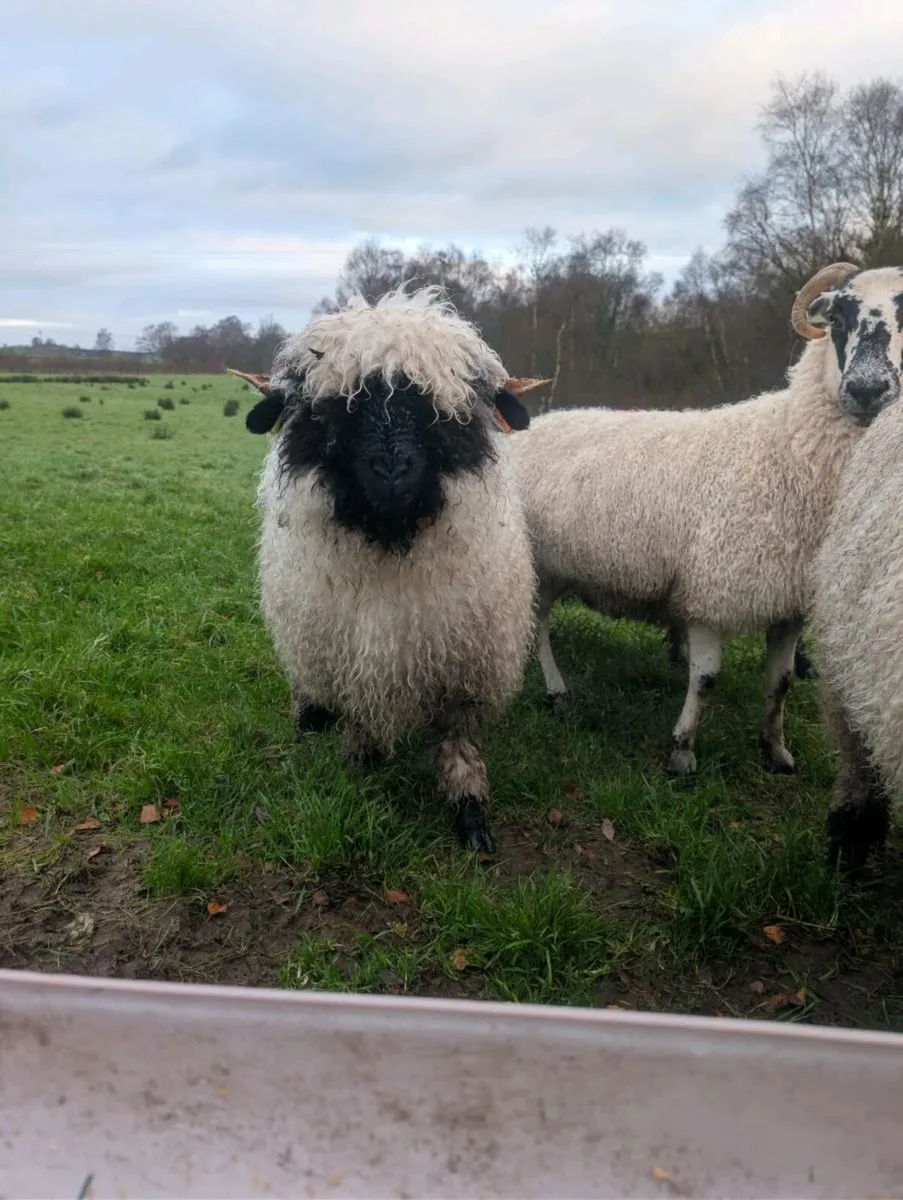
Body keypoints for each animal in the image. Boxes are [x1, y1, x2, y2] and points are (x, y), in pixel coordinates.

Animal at [232, 287, 538, 853]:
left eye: (444, 414)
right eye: (331, 412)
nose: (393, 473)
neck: (391, 544)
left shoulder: (465, 666)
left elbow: (458, 745)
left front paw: (470, 812)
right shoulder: (347, 659)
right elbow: (360, 724)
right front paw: (361, 764)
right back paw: (310, 718)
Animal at [512, 262, 901, 776]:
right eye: (837, 317)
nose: (867, 389)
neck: (787, 448)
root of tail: (534, 425)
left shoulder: (787, 604)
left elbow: (780, 686)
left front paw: (775, 751)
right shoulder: (709, 592)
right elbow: (706, 681)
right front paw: (682, 750)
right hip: (537, 563)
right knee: (537, 624)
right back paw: (556, 690)